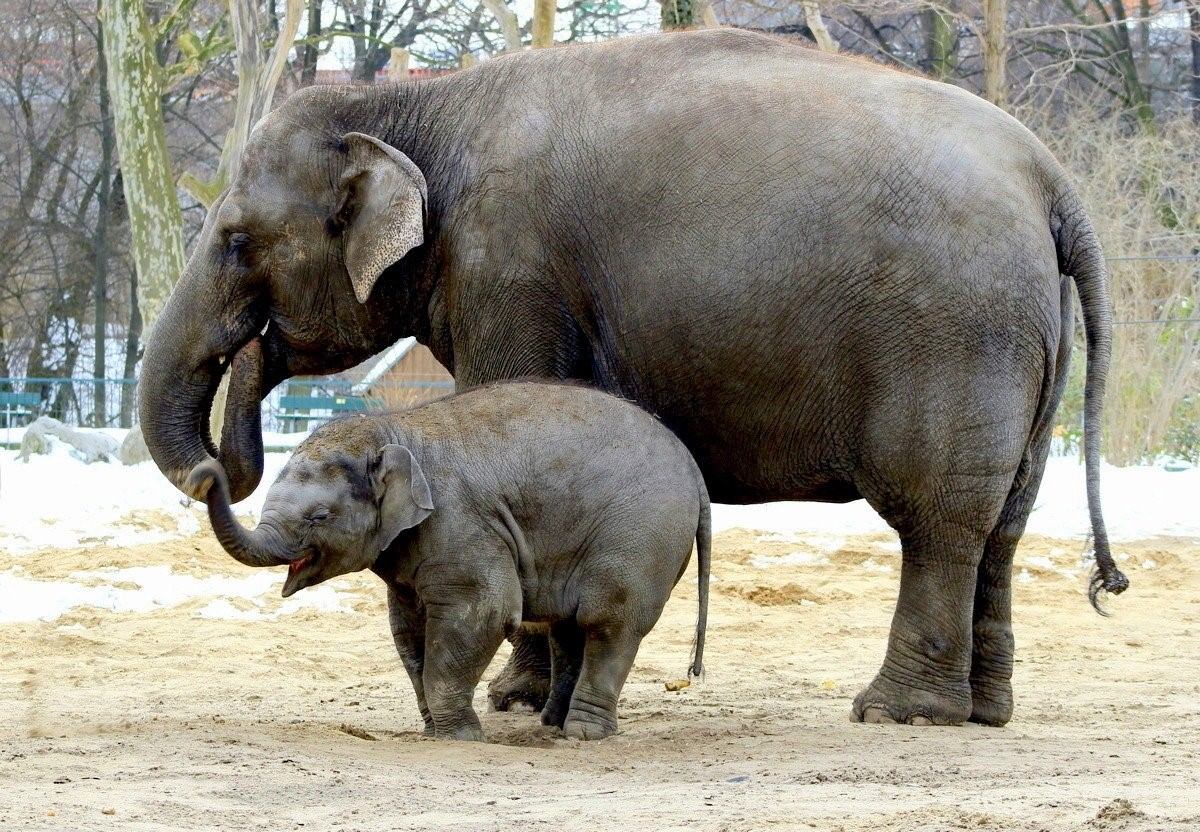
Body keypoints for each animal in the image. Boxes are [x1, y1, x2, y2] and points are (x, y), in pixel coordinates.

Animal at [188, 376, 705, 739]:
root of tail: (692, 467)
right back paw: (553, 726)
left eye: (318, 517)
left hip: (641, 535)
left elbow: (484, 612)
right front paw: (434, 730)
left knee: (608, 621)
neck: (396, 430)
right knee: (569, 626)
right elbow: (407, 629)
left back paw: (583, 733)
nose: (203, 473)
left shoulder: (460, 524)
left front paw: (461, 736)